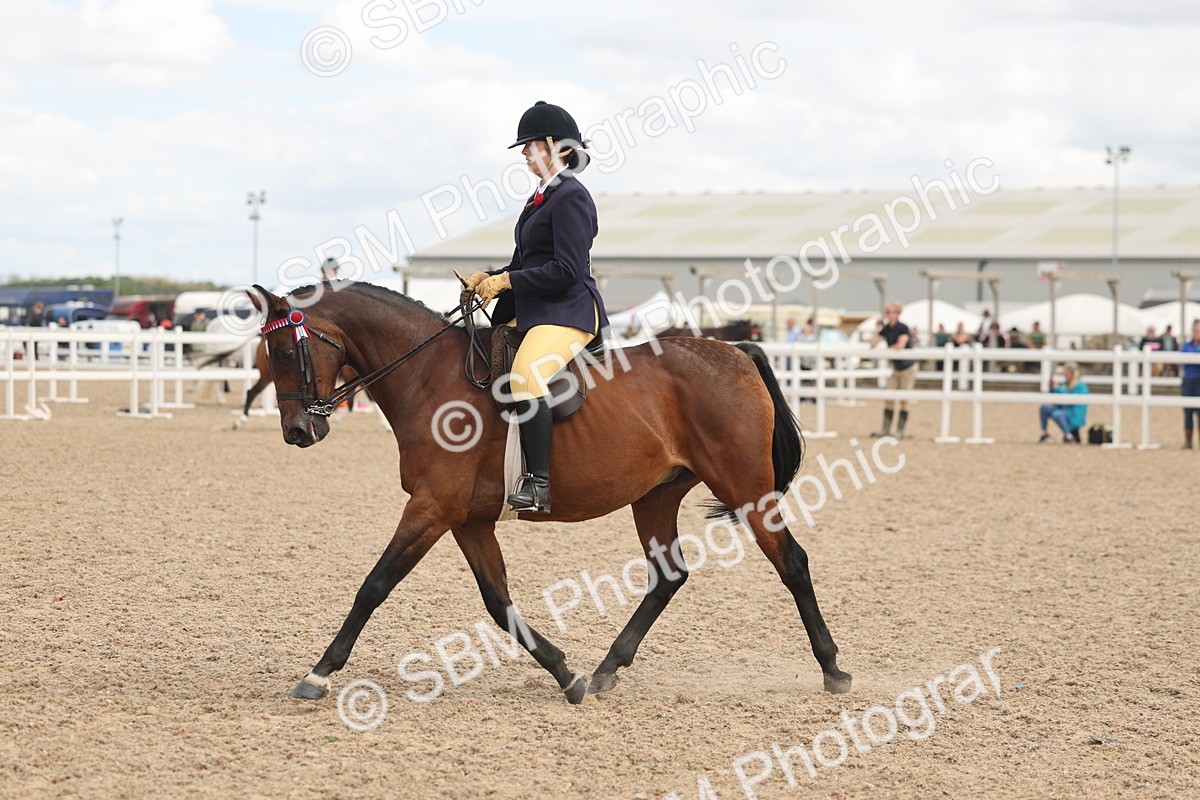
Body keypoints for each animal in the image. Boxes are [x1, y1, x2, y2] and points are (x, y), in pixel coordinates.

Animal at [249, 280, 851, 704]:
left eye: (285, 352)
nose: (297, 431)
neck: (428, 378)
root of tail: (736, 351)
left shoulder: (432, 507)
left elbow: (374, 586)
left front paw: (319, 674)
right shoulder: (466, 518)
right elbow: (498, 603)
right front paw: (566, 674)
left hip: (746, 489)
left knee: (792, 562)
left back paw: (833, 668)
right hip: (655, 497)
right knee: (668, 576)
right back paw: (607, 669)